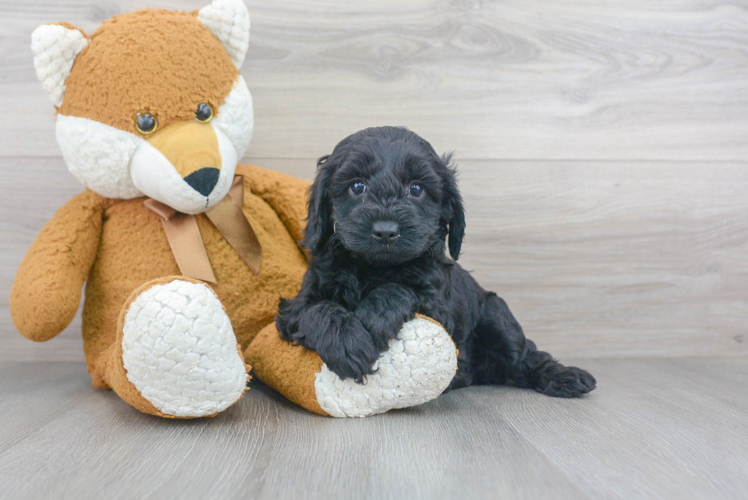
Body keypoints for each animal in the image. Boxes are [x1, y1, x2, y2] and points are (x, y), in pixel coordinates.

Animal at [276, 126, 596, 398]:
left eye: (416, 189)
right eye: (357, 187)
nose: (385, 231)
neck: (373, 268)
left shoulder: (439, 308)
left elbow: (399, 289)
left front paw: (373, 317)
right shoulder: (295, 306)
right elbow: (318, 309)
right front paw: (347, 343)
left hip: (495, 312)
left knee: (523, 358)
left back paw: (564, 377)